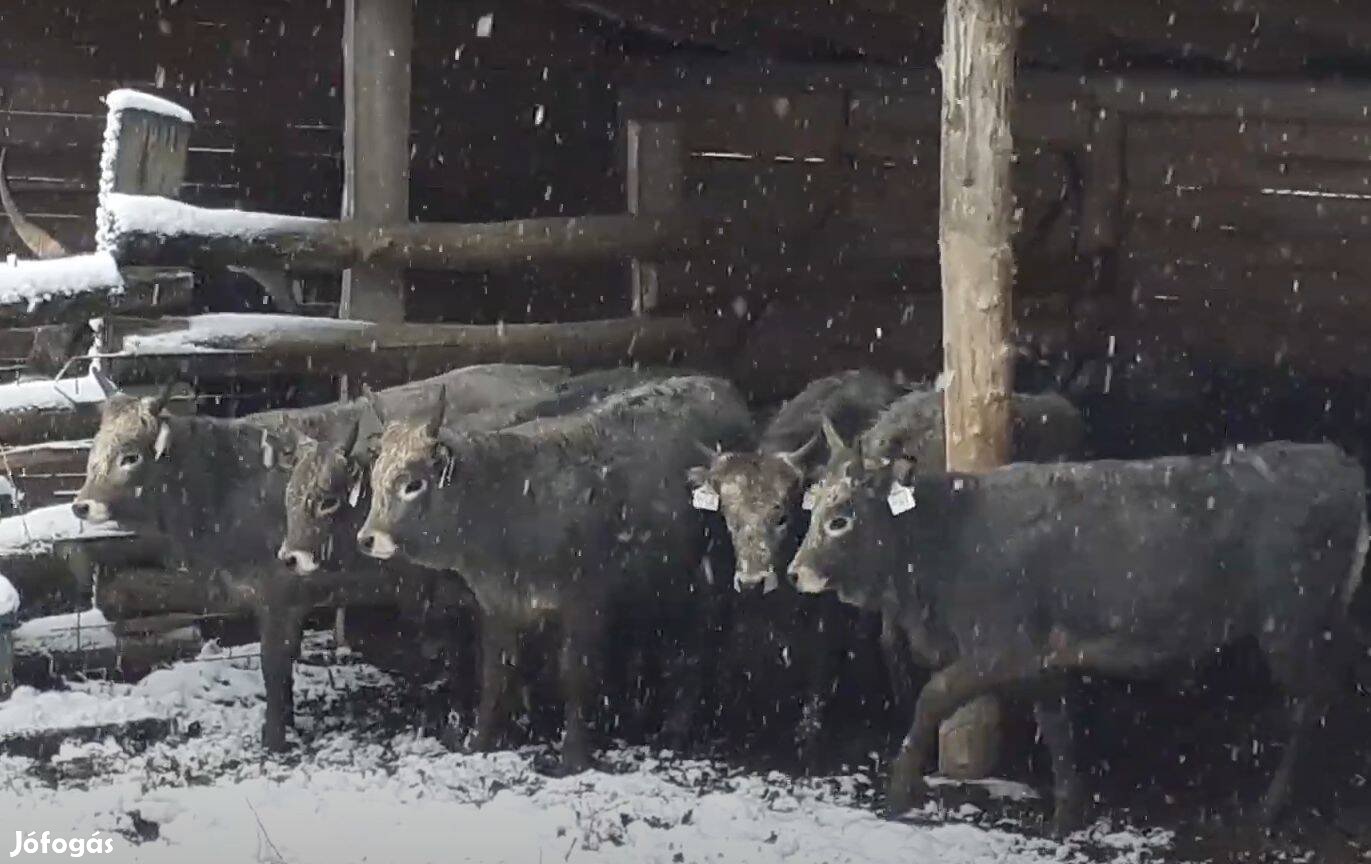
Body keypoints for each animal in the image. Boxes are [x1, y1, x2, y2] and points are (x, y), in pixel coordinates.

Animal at [70, 364, 573, 751]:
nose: (81, 504)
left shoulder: (279, 592)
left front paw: (274, 737)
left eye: (130, 455)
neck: (226, 482)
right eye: (94, 448)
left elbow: (274, 664)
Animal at [353, 378, 756, 773]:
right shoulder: (499, 605)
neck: (512, 501)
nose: (367, 538)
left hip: (710, 578)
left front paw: (573, 755)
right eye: (375, 478)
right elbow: (496, 673)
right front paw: (479, 741)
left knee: (700, 645)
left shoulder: (584, 603)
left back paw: (678, 727)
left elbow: (575, 674)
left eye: (413, 484)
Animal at [789, 436, 1365, 833]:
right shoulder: (1043, 656)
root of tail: (1338, 459)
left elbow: (932, 696)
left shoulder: (1002, 646)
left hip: (1289, 625)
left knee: (1315, 699)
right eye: (810, 507)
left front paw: (897, 792)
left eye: (841, 517)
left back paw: (1270, 805)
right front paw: (1068, 811)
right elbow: (1057, 725)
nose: (795, 572)